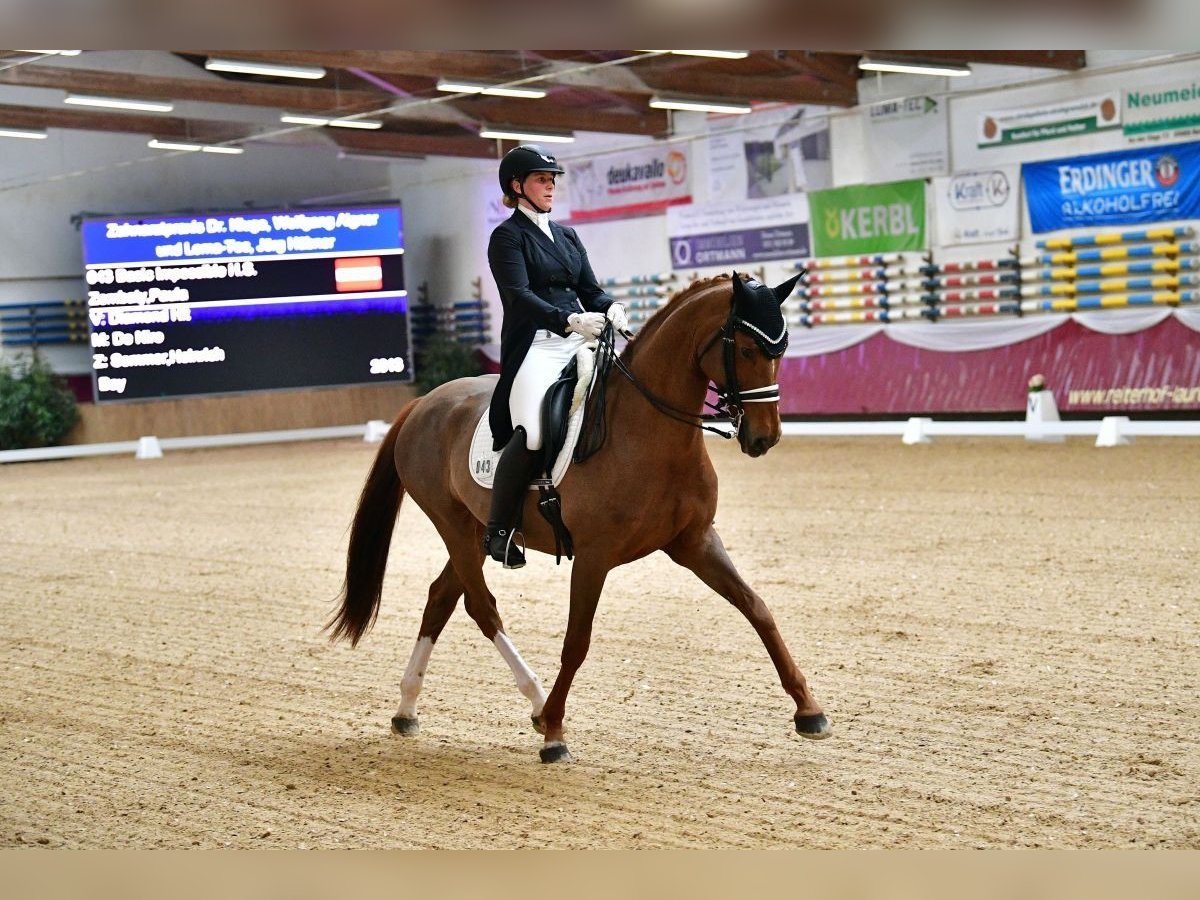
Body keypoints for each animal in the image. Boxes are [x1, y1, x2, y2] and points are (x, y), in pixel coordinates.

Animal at [328, 273, 835, 763]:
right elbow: (577, 642)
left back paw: (407, 709)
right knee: (482, 606)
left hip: (475, 532)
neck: (649, 433)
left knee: (441, 598)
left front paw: (809, 710)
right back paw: (536, 703)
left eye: (782, 351)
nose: (764, 437)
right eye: (747, 349)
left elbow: (758, 609)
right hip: (451, 523)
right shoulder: (594, 557)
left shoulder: (695, 541)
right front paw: (555, 732)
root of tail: (423, 402)